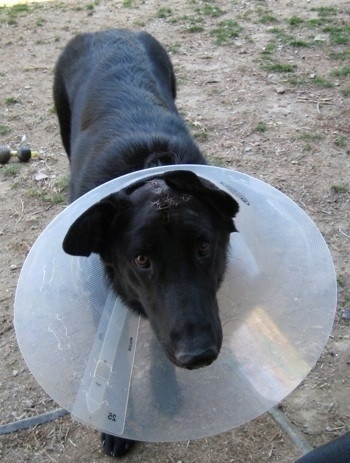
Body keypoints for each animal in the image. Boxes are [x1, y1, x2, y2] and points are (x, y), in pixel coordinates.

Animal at [53, 29, 239, 460]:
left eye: (204, 248)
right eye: (141, 260)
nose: (198, 355)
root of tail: (108, 31)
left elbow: (157, 344)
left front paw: (165, 390)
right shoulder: (102, 301)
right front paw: (117, 426)